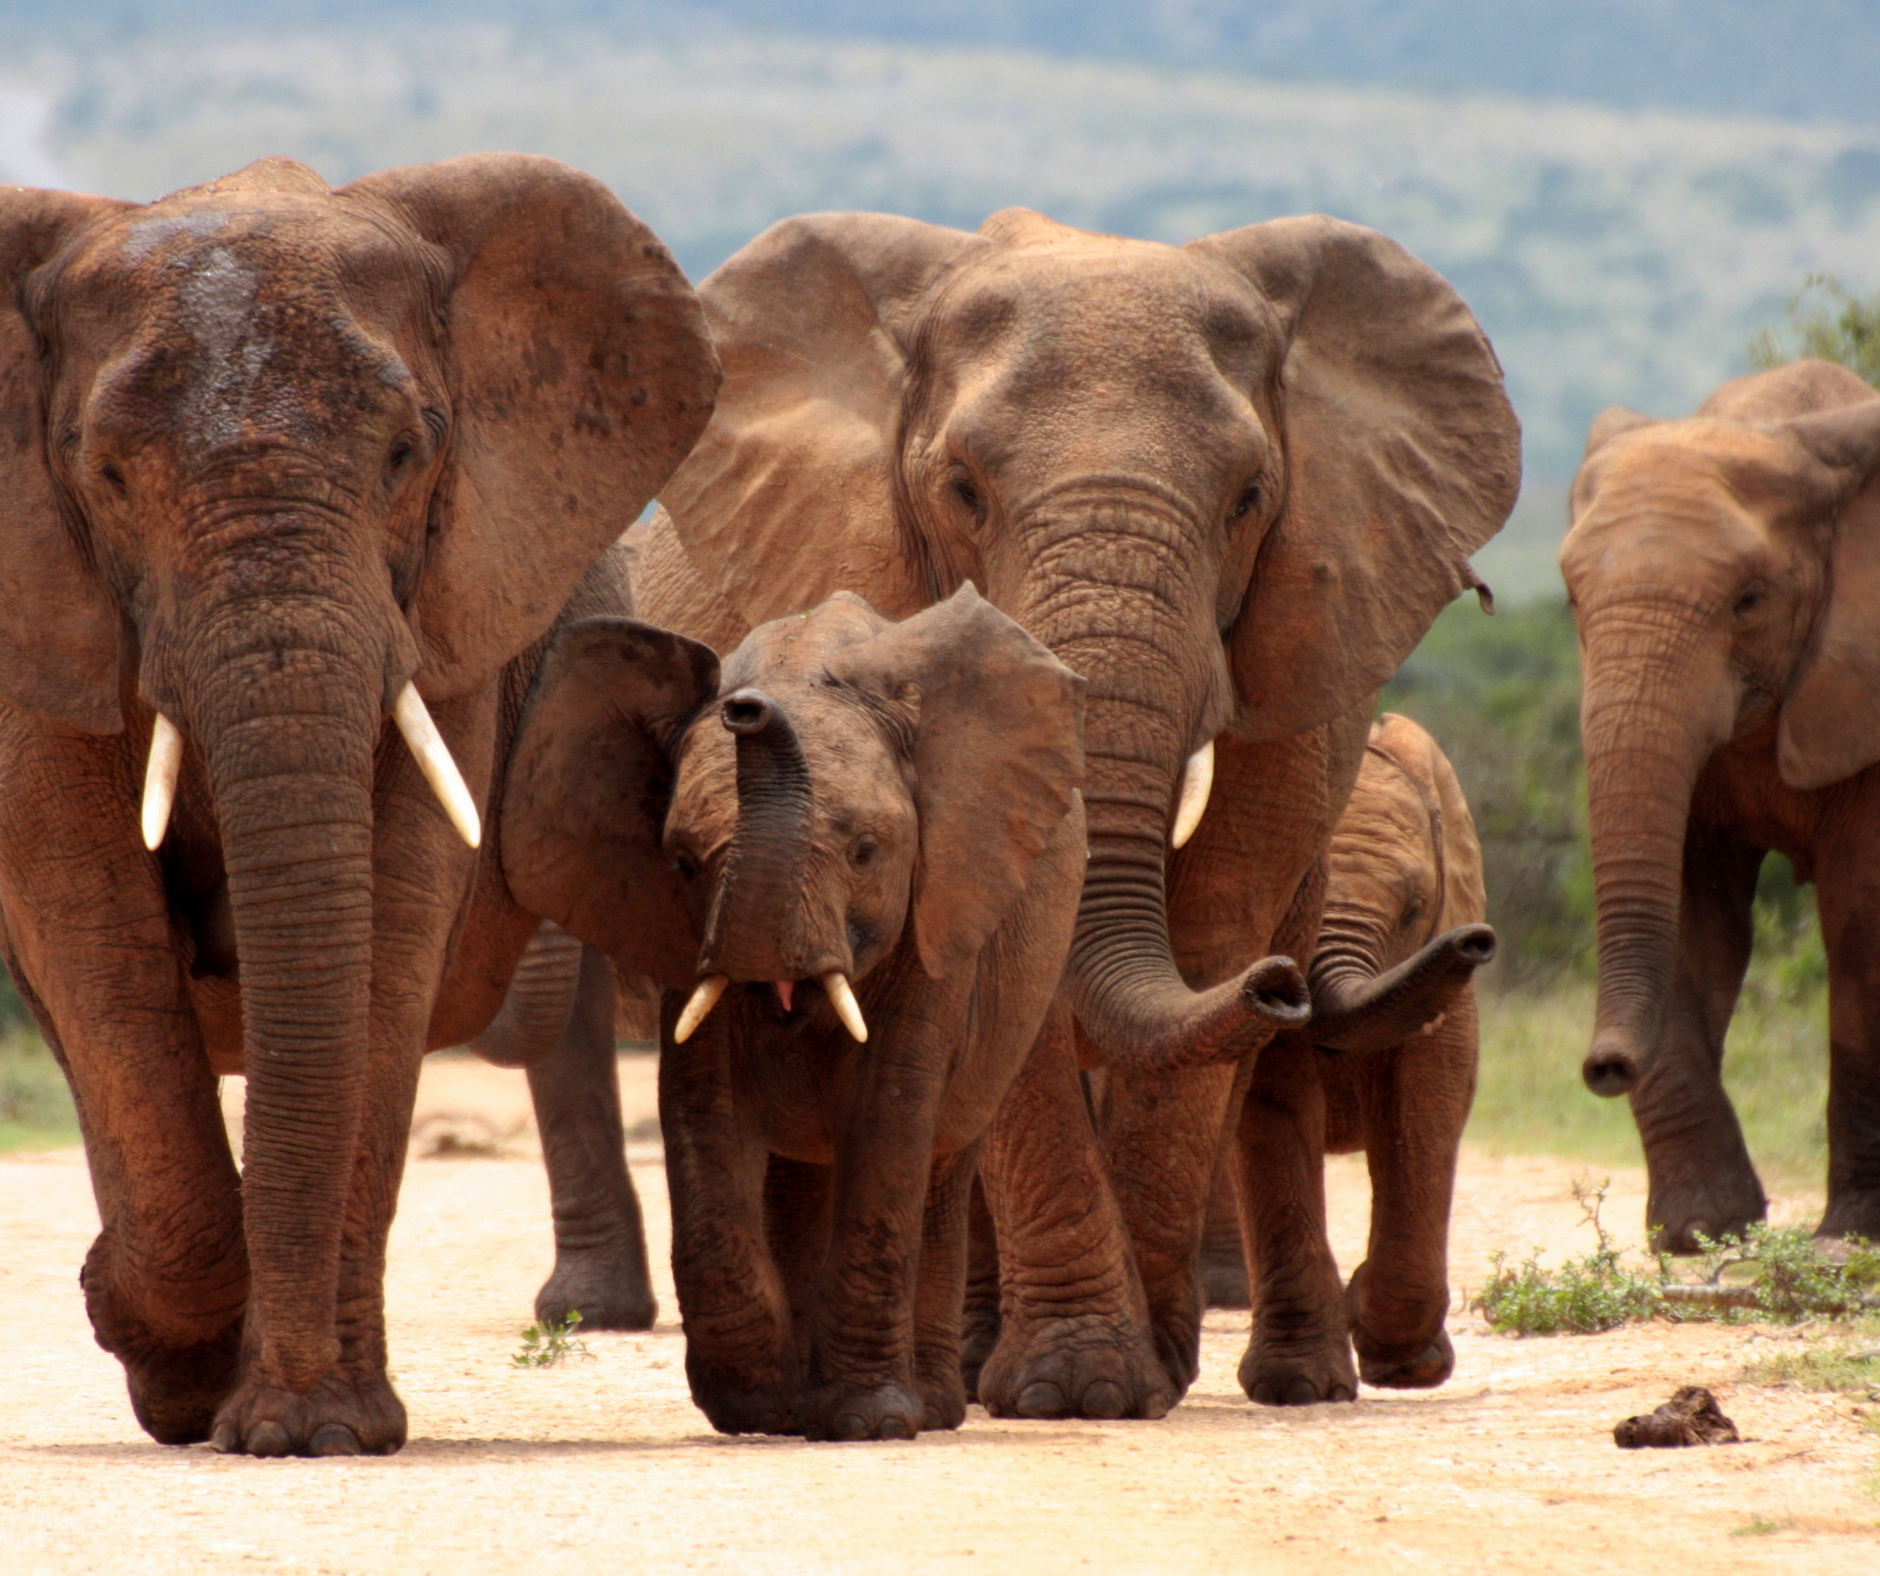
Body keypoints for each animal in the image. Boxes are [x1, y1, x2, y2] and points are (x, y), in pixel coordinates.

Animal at [0, 155, 716, 1453]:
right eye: (106, 476)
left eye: (403, 455)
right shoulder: (40, 600)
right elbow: (90, 928)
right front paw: (167, 1358)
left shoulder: (450, 609)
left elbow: (389, 918)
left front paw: (310, 1430)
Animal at [500, 585, 1087, 1439]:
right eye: (681, 862)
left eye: (867, 852)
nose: (744, 709)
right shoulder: (689, 944)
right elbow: (703, 1111)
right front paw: (757, 1408)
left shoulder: (938, 915)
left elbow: (889, 1114)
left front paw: (868, 1422)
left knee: (945, 1158)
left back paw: (934, 1407)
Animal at [1195, 714, 1494, 1395]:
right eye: (1289, 896)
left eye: (1414, 910)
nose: (1476, 942)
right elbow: (1274, 1108)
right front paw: (1298, 1388)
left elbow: (1422, 1110)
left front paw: (1408, 1364)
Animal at [1563, 357, 1880, 1252]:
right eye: (1570, 601)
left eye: (1749, 600)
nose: (1602, 1066)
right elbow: (1689, 913)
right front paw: (1701, 1230)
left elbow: (1860, 919)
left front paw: (1850, 1235)